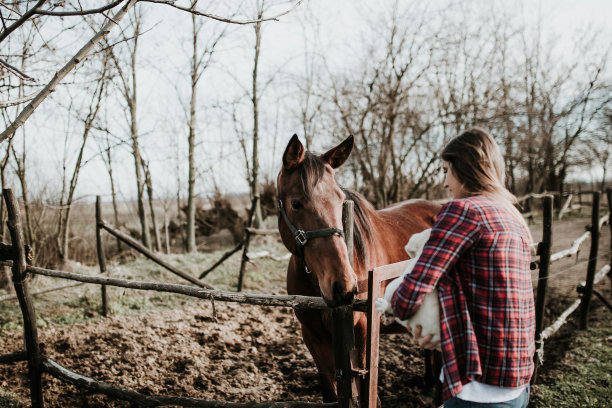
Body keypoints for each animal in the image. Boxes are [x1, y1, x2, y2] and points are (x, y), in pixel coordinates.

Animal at [278, 135, 440, 402]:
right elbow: (330, 390)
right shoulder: (312, 336)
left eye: (340, 200)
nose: (342, 285)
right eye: (296, 203)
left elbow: (364, 386)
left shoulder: (363, 329)